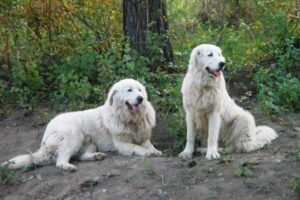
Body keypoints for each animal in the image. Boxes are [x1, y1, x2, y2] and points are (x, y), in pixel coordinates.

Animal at [2, 79, 162, 171]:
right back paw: (68, 167)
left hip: (90, 143)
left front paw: (155, 151)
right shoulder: (122, 144)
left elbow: (148, 145)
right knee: (60, 160)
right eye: (129, 90)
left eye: (140, 90)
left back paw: (96, 156)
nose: (140, 98)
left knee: (81, 156)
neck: (131, 120)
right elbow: (138, 148)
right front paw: (148, 153)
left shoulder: (144, 138)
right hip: (74, 135)